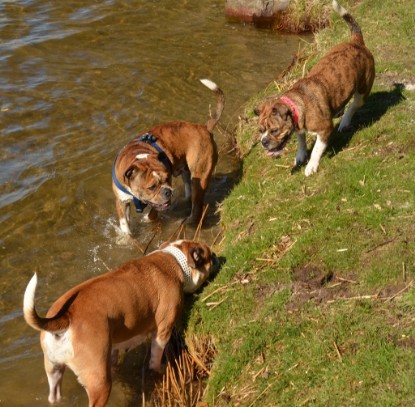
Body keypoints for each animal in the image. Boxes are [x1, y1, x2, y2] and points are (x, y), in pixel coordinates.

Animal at [23, 241, 218, 406]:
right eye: (209, 255)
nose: (217, 256)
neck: (174, 260)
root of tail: (66, 316)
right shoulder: (163, 329)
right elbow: (155, 356)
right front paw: (158, 369)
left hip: (53, 368)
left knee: (53, 395)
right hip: (99, 381)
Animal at [112, 79, 226, 236]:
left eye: (167, 178)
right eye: (151, 187)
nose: (167, 191)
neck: (138, 157)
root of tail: (204, 127)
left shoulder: (159, 200)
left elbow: (153, 211)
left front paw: (147, 219)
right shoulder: (121, 202)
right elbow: (125, 225)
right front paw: (127, 237)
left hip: (200, 176)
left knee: (197, 205)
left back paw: (189, 221)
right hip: (186, 173)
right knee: (188, 190)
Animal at [256, 1, 376, 177]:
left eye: (274, 130)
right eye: (261, 130)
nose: (263, 142)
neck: (296, 105)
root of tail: (357, 42)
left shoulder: (324, 129)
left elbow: (317, 150)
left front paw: (311, 166)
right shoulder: (299, 128)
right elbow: (301, 140)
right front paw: (300, 155)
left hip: (363, 87)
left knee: (354, 105)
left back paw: (345, 121)